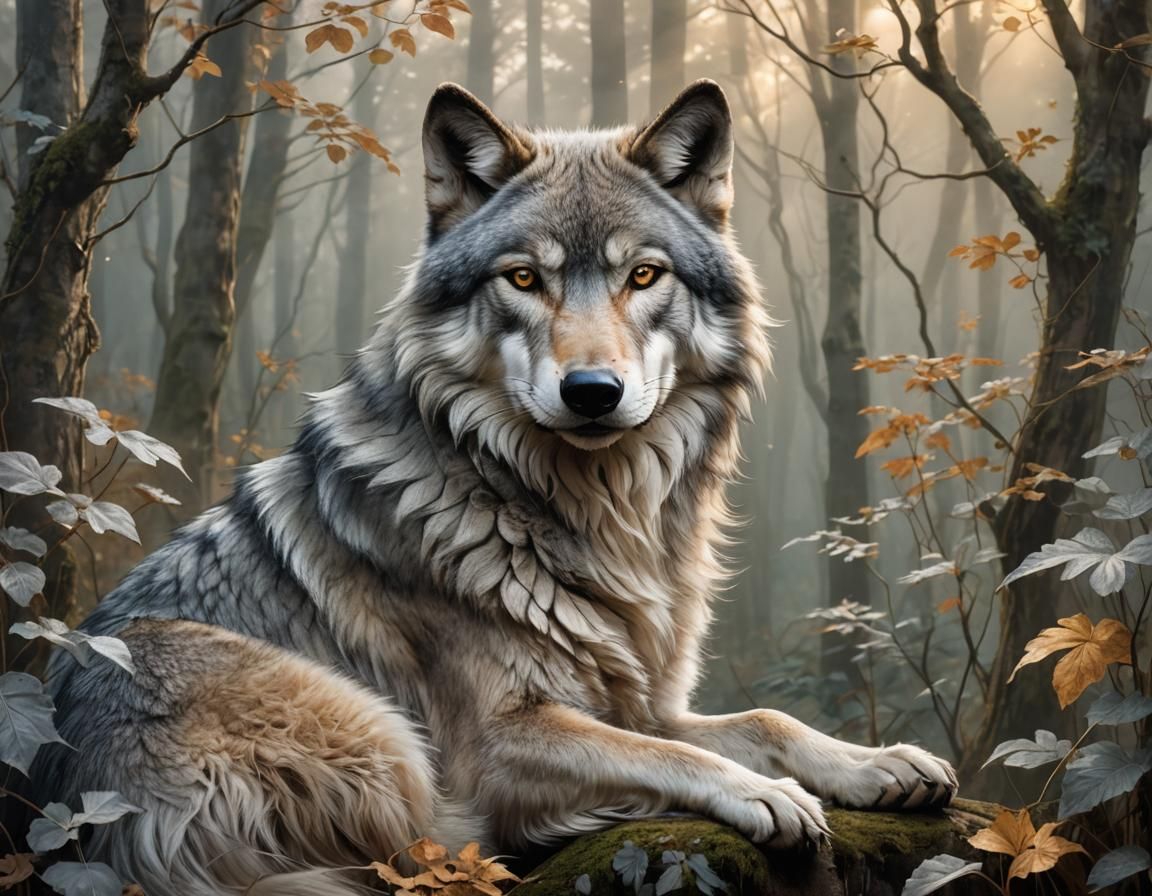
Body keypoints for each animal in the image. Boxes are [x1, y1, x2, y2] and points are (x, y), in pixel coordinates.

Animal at [31, 81, 956, 895]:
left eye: (644, 276)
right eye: (522, 279)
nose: (593, 392)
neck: (593, 513)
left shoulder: (636, 699)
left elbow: (762, 721)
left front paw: (876, 764)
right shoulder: (500, 741)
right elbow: (675, 756)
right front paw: (767, 794)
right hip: (377, 733)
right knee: (436, 846)